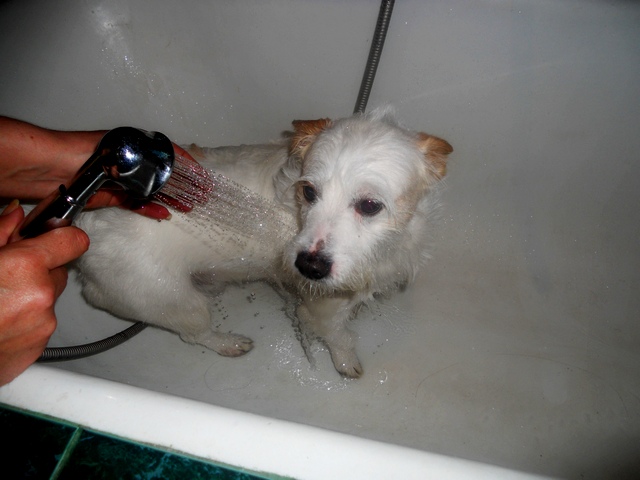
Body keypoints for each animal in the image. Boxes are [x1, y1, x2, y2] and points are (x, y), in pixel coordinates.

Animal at [74, 109, 452, 378]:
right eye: (309, 192)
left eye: (370, 205)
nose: (308, 266)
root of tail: (84, 224)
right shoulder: (322, 308)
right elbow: (339, 338)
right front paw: (347, 363)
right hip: (175, 302)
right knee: (195, 333)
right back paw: (228, 343)